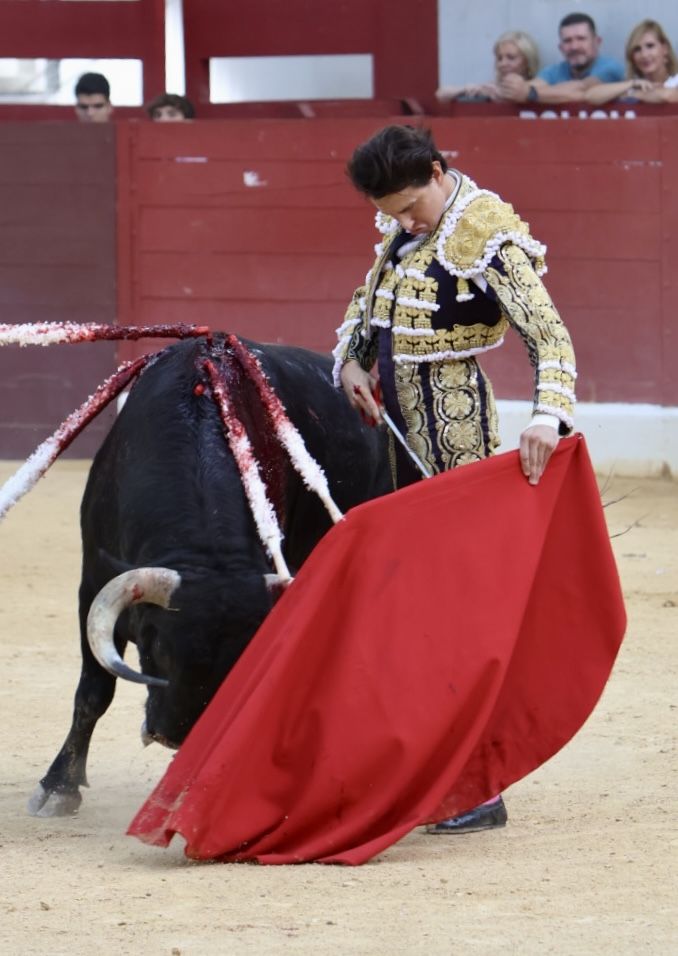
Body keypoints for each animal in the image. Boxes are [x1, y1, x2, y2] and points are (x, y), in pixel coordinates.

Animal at [27, 334, 394, 816]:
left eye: (241, 657)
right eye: (154, 646)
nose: (175, 734)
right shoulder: (92, 582)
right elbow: (94, 688)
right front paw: (58, 788)